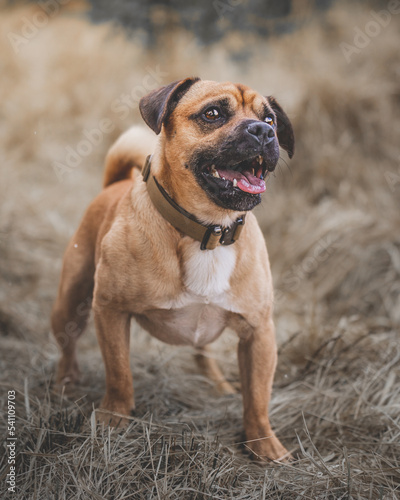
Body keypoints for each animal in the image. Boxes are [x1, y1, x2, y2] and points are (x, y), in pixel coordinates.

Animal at [50, 77, 294, 460]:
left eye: (270, 120)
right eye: (213, 114)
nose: (262, 132)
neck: (209, 231)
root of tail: (114, 183)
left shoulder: (259, 333)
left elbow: (257, 398)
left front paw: (264, 445)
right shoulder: (110, 311)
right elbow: (119, 374)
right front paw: (112, 419)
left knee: (203, 354)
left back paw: (218, 384)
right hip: (71, 299)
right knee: (67, 342)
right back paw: (66, 381)